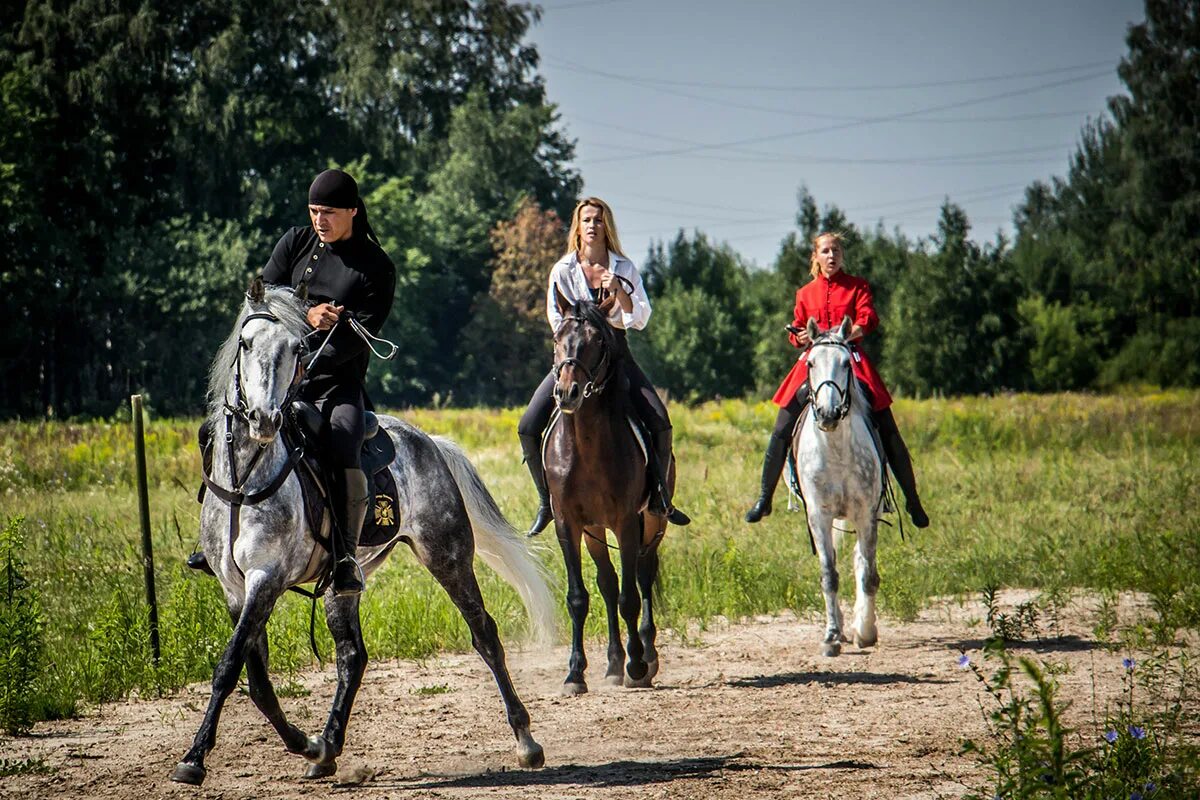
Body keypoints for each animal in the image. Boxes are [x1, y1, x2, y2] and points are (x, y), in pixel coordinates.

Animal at [542, 287, 667, 695]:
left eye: (597, 342)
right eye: (557, 339)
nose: (567, 392)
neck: (586, 446)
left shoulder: (627, 521)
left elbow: (630, 598)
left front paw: (637, 665)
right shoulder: (568, 524)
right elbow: (580, 597)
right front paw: (574, 674)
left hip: (652, 523)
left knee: (642, 576)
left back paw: (645, 657)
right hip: (595, 530)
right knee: (608, 583)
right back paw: (613, 663)